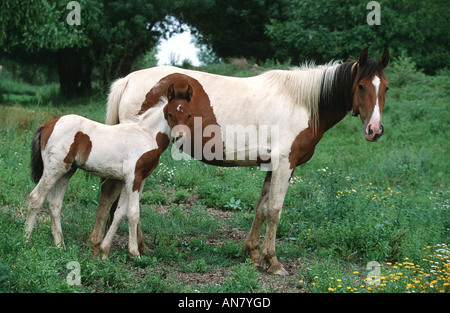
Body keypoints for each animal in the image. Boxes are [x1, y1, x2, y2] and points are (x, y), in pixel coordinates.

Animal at [26, 99, 171, 256]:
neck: (147, 134)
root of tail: (48, 124)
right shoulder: (133, 178)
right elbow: (133, 212)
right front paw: (134, 253)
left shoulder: (133, 180)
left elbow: (120, 212)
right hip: (53, 170)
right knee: (36, 198)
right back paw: (25, 241)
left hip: (66, 172)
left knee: (54, 203)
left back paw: (60, 246)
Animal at [89, 47, 388, 274]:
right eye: (361, 86)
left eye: (385, 87)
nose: (374, 130)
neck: (301, 103)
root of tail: (127, 80)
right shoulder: (285, 164)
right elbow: (275, 210)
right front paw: (273, 262)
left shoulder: (272, 166)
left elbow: (262, 208)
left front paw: (253, 255)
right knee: (114, 193)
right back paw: (108, 246)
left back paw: (133, 246)